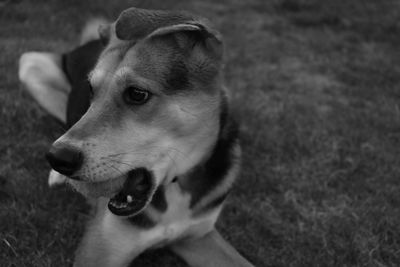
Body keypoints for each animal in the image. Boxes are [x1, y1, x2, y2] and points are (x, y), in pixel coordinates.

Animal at [18, 7, 253, 266]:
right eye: (91, 90)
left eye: (137, 94)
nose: (58, 158)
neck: (175, 185)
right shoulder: (97, 254)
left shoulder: (199, 235)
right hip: (30, 63)